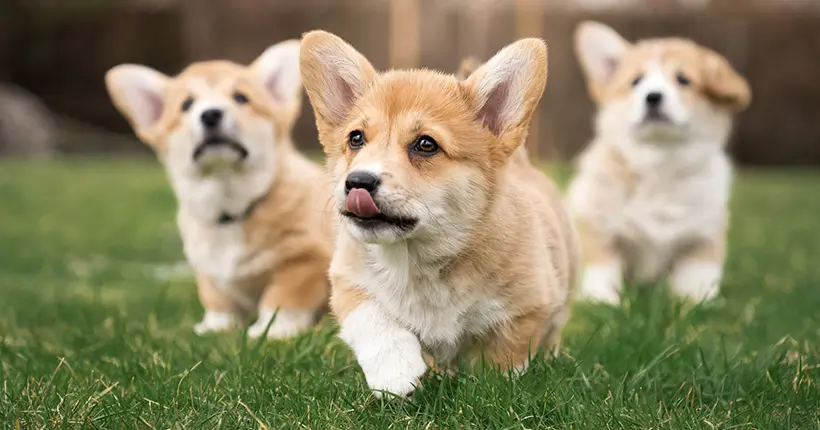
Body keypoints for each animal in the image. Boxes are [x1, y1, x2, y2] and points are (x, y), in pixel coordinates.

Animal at [300, 31, 576, 400]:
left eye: (426, 145)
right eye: (356, 138)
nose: (357, 181)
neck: (421, 259)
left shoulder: (526, 307)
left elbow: (503, 359)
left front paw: (492, 390)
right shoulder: (349, 279)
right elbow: (372, 319)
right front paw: (395, 373)